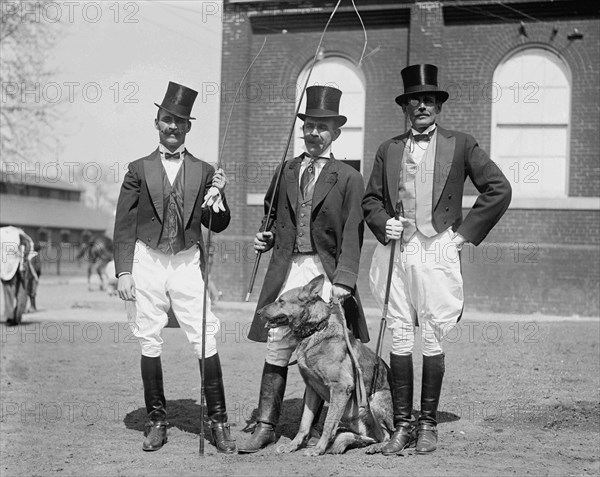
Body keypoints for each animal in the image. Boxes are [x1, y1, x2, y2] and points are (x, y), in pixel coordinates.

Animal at [258, 274, 394, 456]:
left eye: (281, 301)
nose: (258, 312)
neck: (316, 330)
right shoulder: (312, 388)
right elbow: (304, 423)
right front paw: (293, 445)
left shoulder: (340, 387)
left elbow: (329, 423)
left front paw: (319, 449)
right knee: (369, 436)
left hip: (374, 400)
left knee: (386, 435)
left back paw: (378, 446)